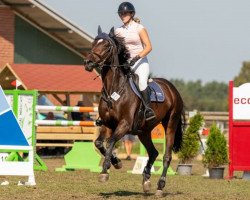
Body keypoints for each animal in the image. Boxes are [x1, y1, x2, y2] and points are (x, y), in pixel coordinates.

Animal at [84, 26, 186, 197]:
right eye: (93, 43)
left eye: (106, 46)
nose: (88, 63)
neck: (114, 89)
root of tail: (173, 89)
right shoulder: (107, 124)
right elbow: (99, 142)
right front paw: (116, 162)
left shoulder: (124, 125)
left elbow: (110, 141)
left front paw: (105, 170)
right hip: (143, 131)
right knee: (153, 152)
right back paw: (146, 181)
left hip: (170, 125)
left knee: (166, 156)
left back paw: (160, 186)